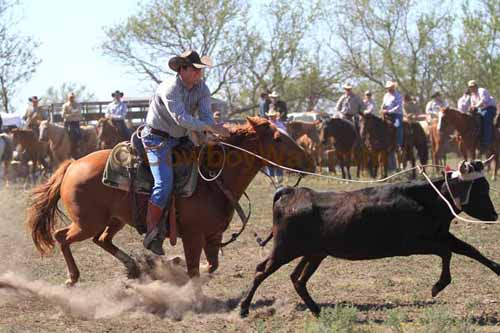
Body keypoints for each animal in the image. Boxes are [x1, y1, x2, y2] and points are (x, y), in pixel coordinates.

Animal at [27, 117, 314, 286]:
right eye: (277, 138)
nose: (309, 161)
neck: (213, 178)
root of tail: (74, 164)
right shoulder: (193, 236)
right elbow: (195, 269)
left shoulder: (212, 235)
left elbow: (211, 265)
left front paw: (177, 267)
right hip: (87, 222)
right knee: (62, 236)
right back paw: (73, 277)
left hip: (114, 219)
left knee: (102, 240)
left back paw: (133, 267)